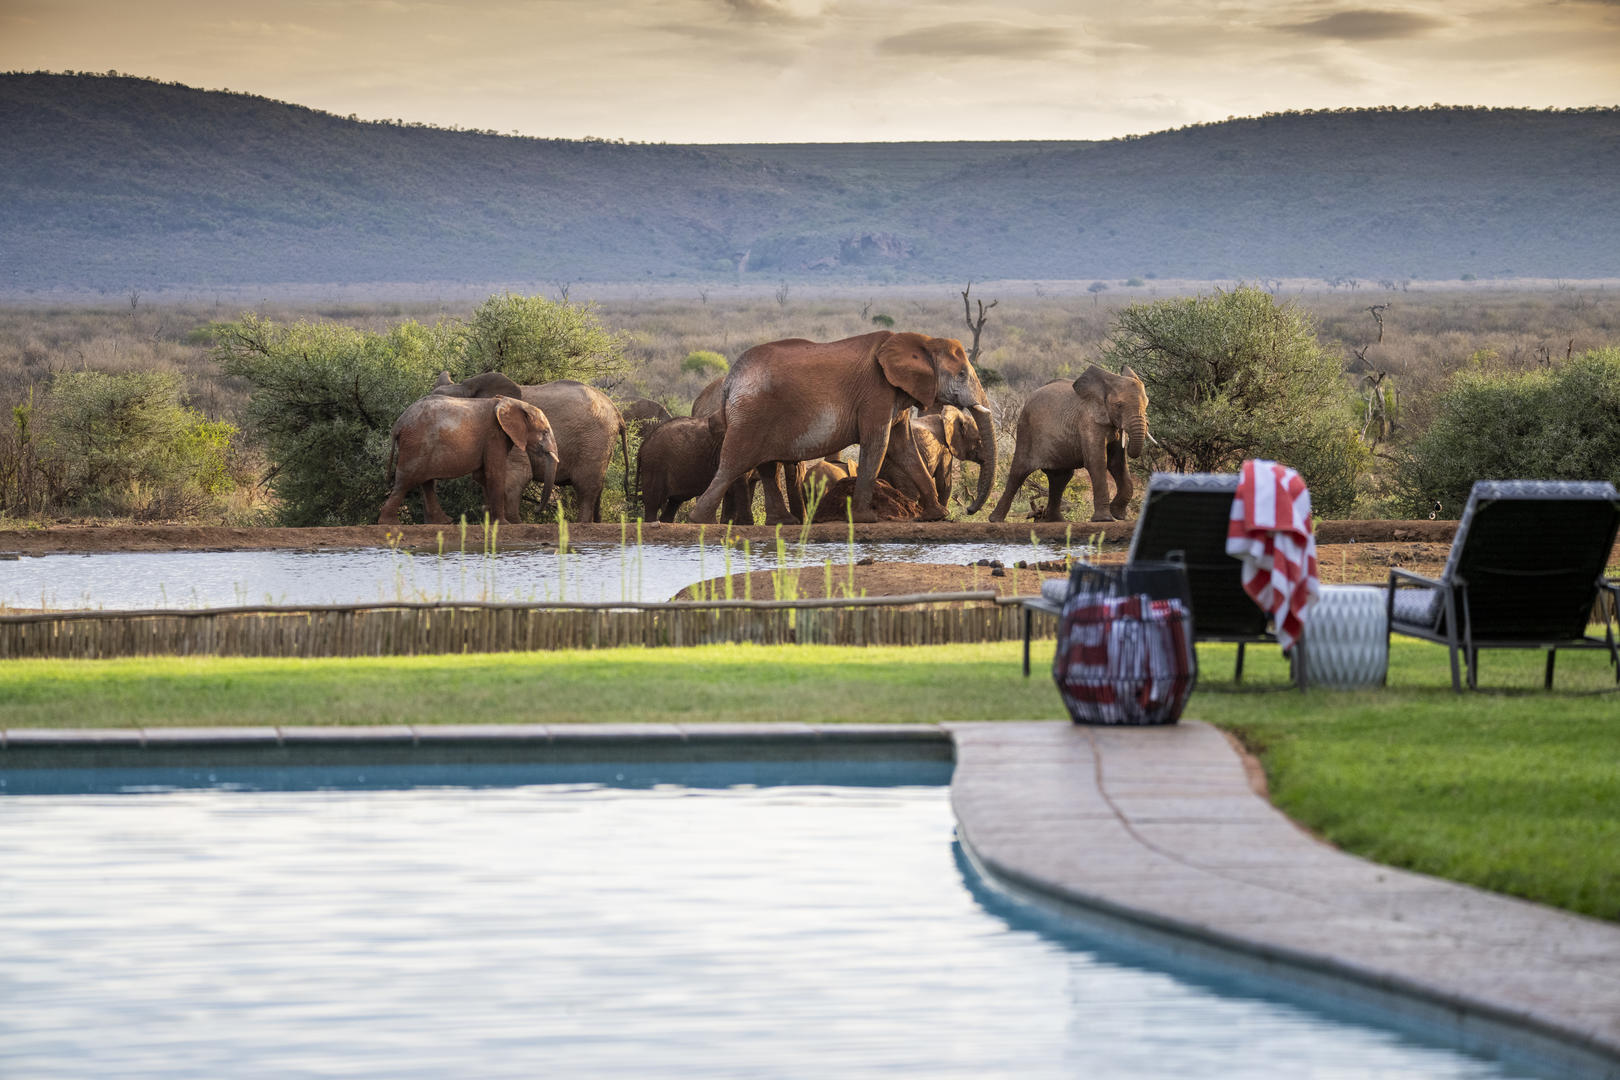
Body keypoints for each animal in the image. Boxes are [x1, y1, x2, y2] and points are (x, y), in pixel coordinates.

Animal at [378, 395, 558, 525]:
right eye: (545, 432)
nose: (536, 511)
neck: (513, 402)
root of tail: (398, 424)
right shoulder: (495, 436)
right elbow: (494, 474)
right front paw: (503, 524)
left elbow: (482, 476)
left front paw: (489, 519)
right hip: (416, 444)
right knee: (406, 481)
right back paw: (390, 523)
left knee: (426, 482)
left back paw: (443, 522)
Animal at [690, 332, 996, 525]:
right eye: (961, 374)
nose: (971, 510)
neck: (922, 341)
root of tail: (730, 380)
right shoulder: (876, 392)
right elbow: (878, 443)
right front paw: (865, 519)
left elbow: (903, 448)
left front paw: (936, 515)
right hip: (751, 416)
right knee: (734, 463)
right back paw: (702, 521)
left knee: (767, 466)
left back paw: (783, 523)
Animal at [988, 364, 1151, 523]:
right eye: (1119, 405)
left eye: (1147, 403)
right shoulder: (1088, 421)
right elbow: (1097, 461)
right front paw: (1104, 520)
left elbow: (1117, 463)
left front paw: (1119, 515)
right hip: (1026, 430)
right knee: (1019, 472)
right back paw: (996, 520)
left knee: (1060, 477)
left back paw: (1057, 521)